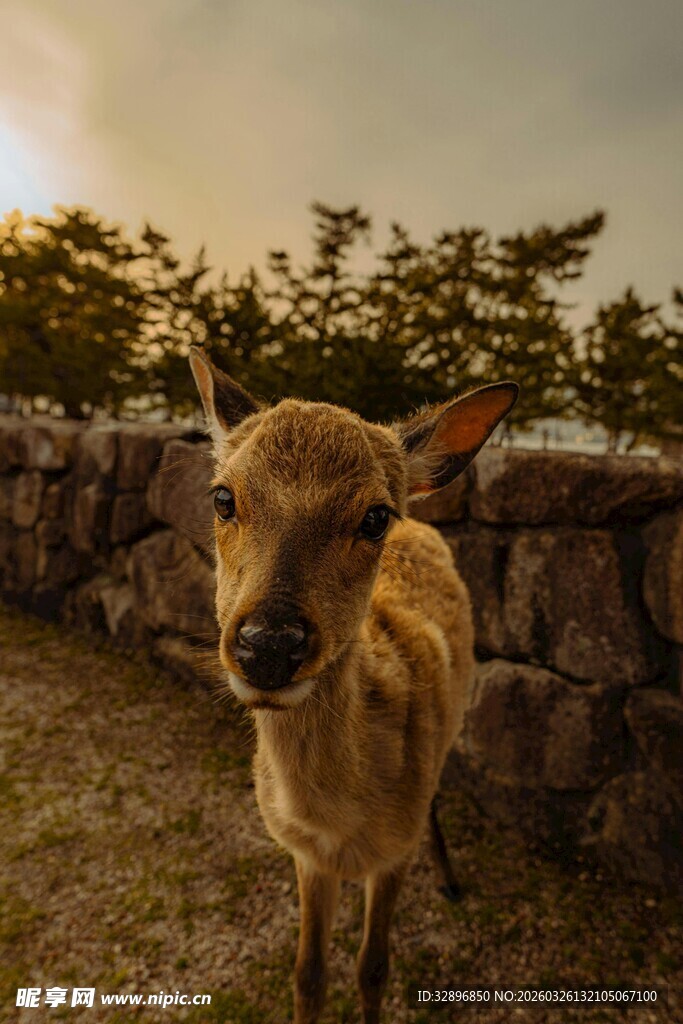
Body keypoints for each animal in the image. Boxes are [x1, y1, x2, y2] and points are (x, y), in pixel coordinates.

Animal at [189, 347, 518, 1024]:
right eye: (223, 497)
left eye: (374, 516)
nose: (268, 646)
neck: (338, 824)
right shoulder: (305, 855)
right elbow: (308, 973)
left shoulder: (392, 853)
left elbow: (373, 967)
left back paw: (450, 879)